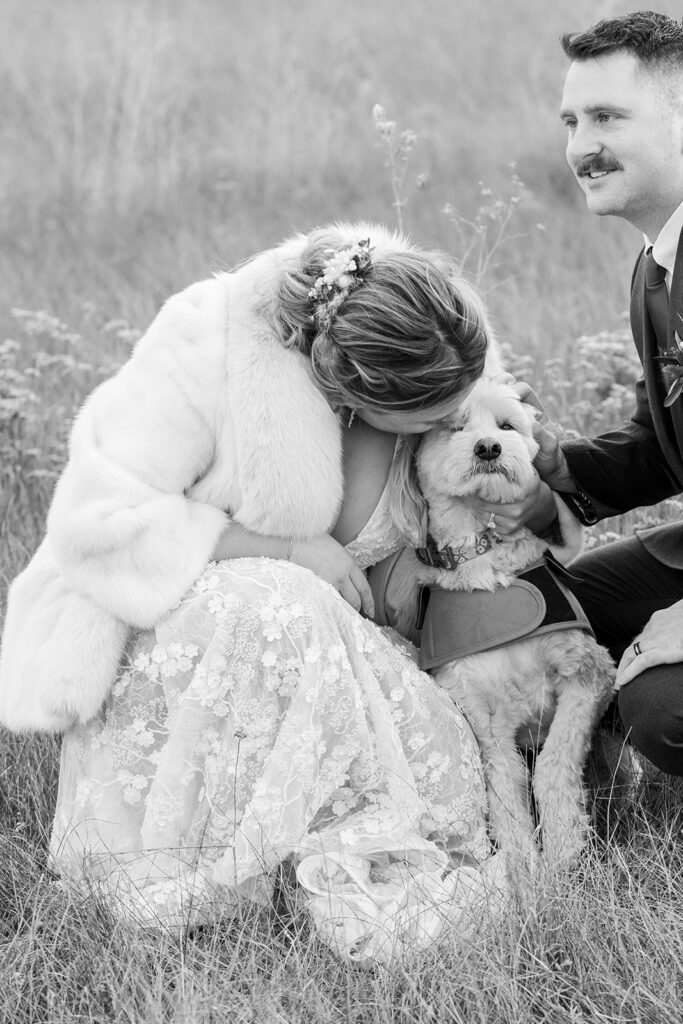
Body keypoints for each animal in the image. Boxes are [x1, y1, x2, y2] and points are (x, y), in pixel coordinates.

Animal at [382, 378, 618, 864]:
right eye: (454, 428)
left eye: (507, 425)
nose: (488, 447)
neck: (484, 556)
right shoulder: (485, 721)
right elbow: (508, 803)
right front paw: (526, 874)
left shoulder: (589, 674)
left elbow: (552, 765)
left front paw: (563, 852)